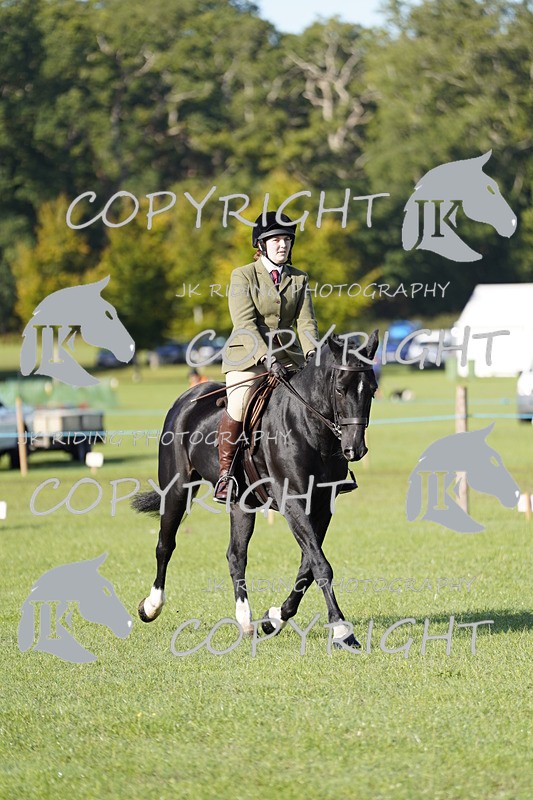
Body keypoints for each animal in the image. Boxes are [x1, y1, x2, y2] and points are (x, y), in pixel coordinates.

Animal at [133, 331, 379, 647]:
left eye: (372, 390)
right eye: (339, 389)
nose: (354, 449)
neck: (309, 427)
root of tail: (186, 398)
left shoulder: (322, 505)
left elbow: (309, 566)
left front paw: (274, 619)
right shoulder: (292, 501)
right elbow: (321, 565)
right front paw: (341, 629)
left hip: (242, 503)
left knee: (236, 555)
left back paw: (246, 621)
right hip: (176, 489)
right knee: (165, 545)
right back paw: (151, 607)